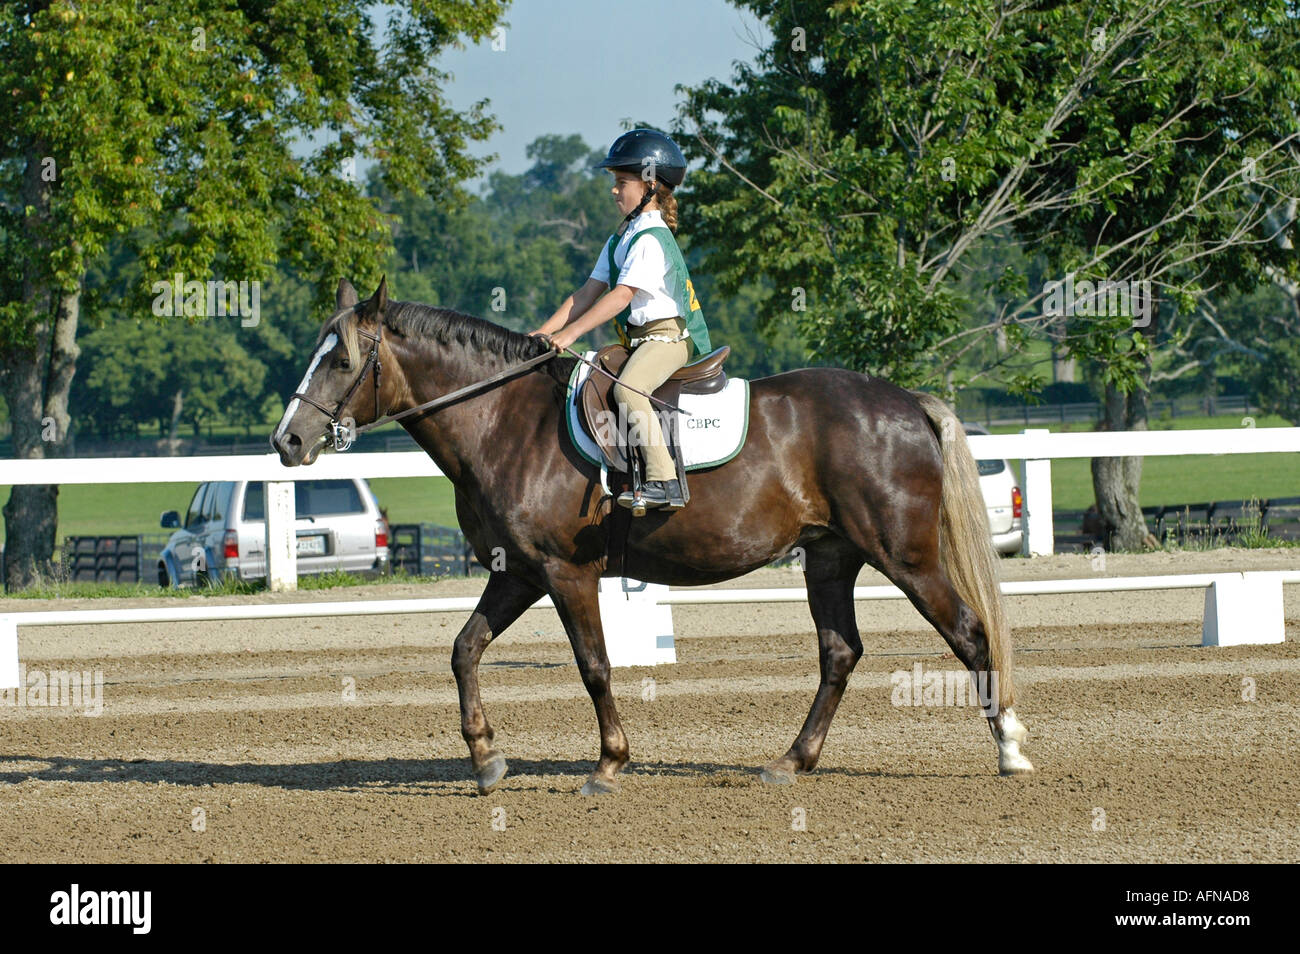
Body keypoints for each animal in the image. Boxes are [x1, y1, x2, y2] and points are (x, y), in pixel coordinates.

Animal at [271, 278, 1033, 796]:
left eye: (341, 361)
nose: (287, 441)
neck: (505, 421)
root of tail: (906, 401)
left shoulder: (565, 573)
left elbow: (595, 666)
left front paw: (608, 764)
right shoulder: (517, 572)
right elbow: (465, 651)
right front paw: (486, 761)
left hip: (907, 557)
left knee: (969, 634)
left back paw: (1010, 751)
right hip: (829, 558)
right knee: (840, 654)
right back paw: (791, 761)